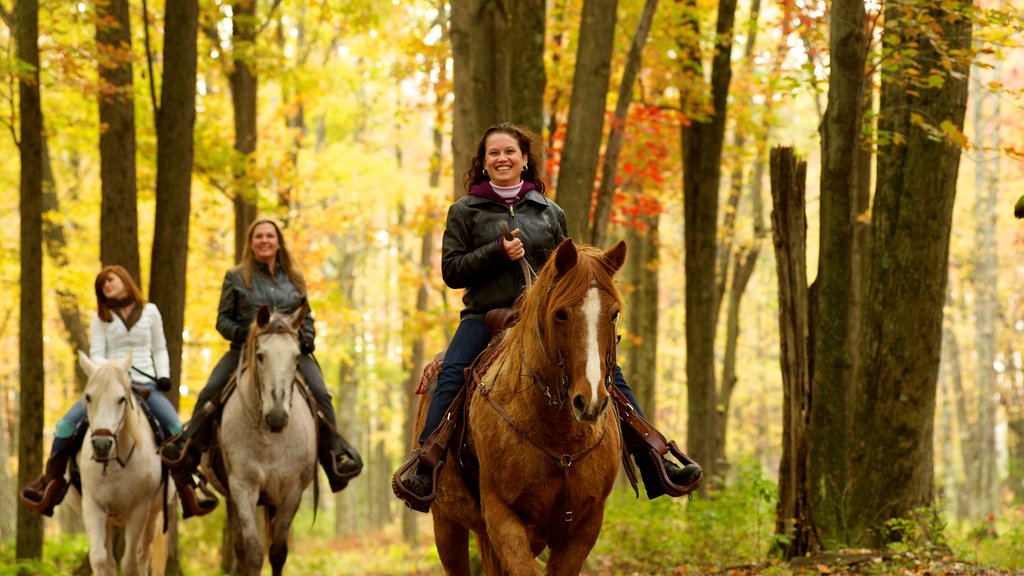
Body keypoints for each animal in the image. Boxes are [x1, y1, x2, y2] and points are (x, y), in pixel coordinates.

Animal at [67, 350, 169, 573]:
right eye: (88, 397)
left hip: (153, 516)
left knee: (143, 555)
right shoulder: (93, 507)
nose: (102, 445)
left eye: (121, 399)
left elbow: (129, 561)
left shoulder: (139, 510)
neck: (114, 465)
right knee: (111, 560)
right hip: (108, 520)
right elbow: (99, 559)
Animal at [205, 303, 317, 569]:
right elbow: (253, 552)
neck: (269, 440)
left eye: (297, 357)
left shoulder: (292, 490)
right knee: (239, 547)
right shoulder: (242, 487)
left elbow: (277, 552)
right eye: (260, 356)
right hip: (232, 497)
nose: (276, 416)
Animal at [417, 235, 622, 569]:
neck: (560, 436)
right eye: (561, 313)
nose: (590, 401)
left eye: (614, 314)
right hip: (445, 522)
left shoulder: (586, 525)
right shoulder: (504, 520)